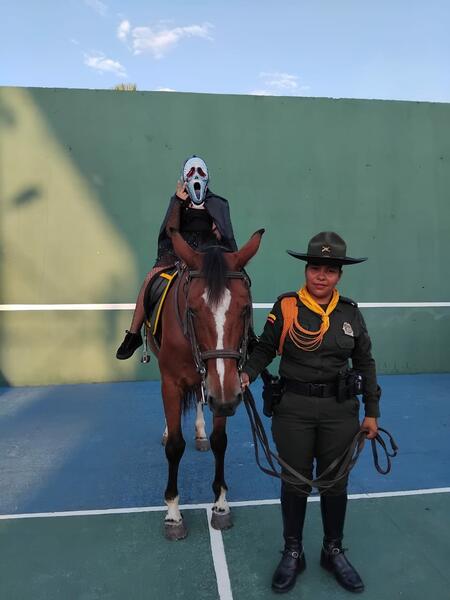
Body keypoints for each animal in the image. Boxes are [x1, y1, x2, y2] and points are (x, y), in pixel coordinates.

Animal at [148, 229, 266, 540]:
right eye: (192, 310)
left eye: (245, 308)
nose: (225, 399)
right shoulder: (173, 383)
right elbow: (175, 446)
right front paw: (173, 513)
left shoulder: (223, 385)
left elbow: (220, 441)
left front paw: (221, 505)